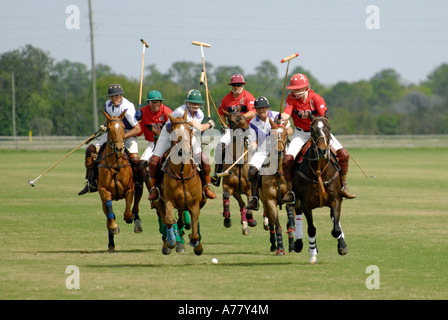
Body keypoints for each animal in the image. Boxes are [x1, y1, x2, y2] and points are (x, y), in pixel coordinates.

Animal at [96, 110, 135, 252]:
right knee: (108, 214)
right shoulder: (104, 190)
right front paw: (114, 227)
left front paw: (130, 218)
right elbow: (110, 211)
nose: (119, 148)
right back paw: (111, 243)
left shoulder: (130, 189)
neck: (114, 164)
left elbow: (128, 211)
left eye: (123, 128)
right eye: (109, 129)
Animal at [151, 109, 206, 255]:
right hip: (158, 201)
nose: (184, 151)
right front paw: (171, 242)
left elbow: (195, 232)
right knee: (165, 218)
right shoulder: (169, 200)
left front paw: (197, 245)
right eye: (174, 132)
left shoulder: (195, 204)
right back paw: (167, 243)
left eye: (189, 130)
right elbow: (169, 220)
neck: (181, 174)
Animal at [260, 119, 298, 256]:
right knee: (270, 222)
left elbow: (290, 224)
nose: (280, 151)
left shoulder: (290, 198)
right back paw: (273, 245)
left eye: (286, 133)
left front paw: (292, 246)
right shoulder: (270, 200)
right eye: (272, 134)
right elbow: (277, 225)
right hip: (264, 201)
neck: (279, 172)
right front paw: (280, 248)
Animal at [292, 114, 348, 264]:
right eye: (312, 129)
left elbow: (336, 228)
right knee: (298, 213)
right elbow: (311, 229)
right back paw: (299, 244)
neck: (320, 170)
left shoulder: (336, 200)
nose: (323, 150)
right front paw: (313, 254)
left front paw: (342, 246)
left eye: (329, 128)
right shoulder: (306, 204)